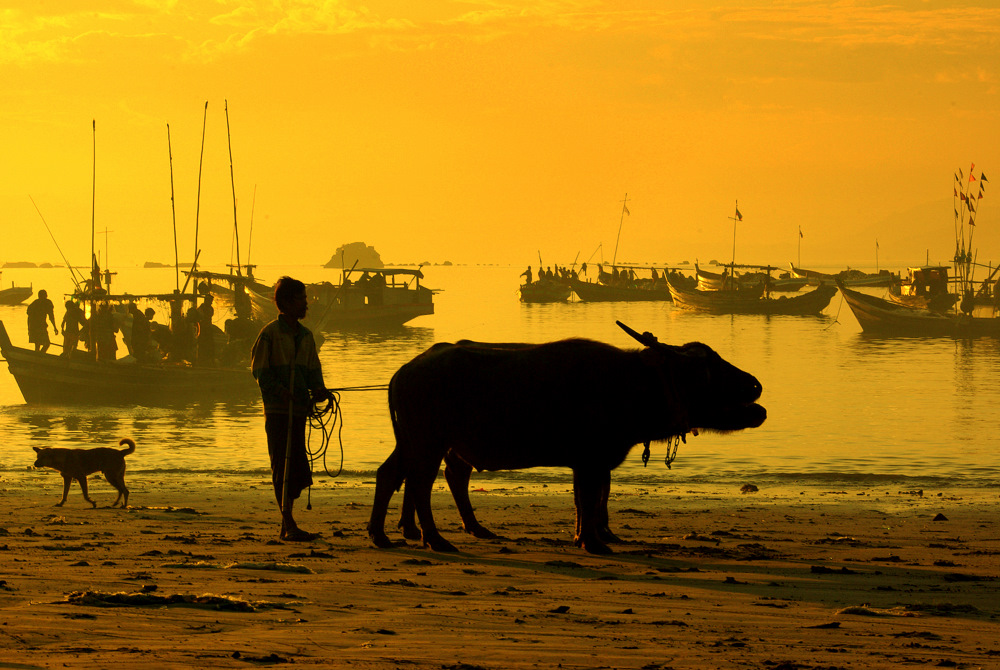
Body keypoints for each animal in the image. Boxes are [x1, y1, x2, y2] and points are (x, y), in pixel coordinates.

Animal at [368, 322, 764, 552]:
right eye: (705, 367)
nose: (755, 384)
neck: (634, 383)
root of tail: (404, 371)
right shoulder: (590, 460)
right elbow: (589, 498)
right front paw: (593, 542)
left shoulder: (593, 462)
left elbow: (587, 499)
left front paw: (589, 536)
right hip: (428, 442)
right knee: (421, 483)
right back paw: (435, 539)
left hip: (414, 442)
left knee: (393, 475)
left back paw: (384, 534)